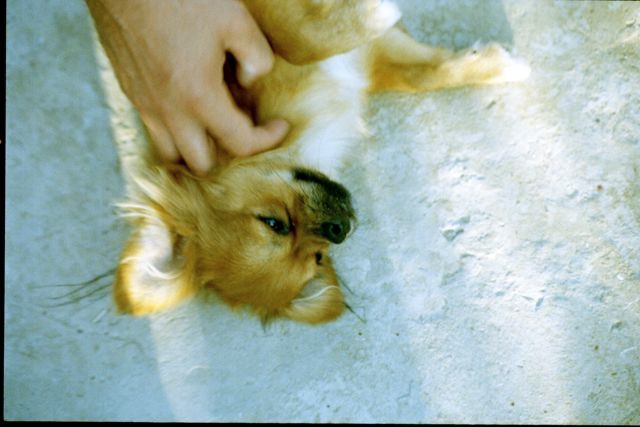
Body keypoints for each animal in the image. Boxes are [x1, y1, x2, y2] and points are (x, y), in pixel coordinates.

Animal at [113, 0, 530, 324]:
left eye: (273, 222)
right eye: (318, 257)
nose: (339, 228)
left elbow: (295, 37)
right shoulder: (365, 64)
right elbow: (421, 74)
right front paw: (495, 66)